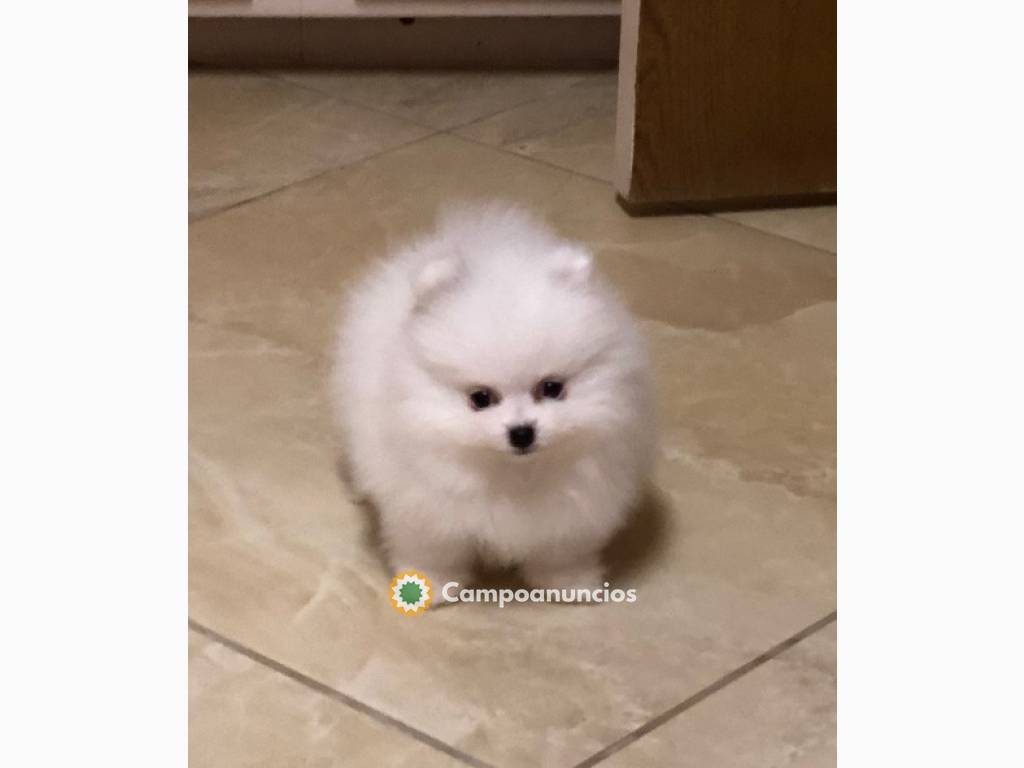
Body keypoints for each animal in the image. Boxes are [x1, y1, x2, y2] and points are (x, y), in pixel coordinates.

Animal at [335, 202, 655, 593]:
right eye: (480, 398)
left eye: (552, 388)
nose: (522, 432)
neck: (512, 472)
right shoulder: (427, 509)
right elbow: (434, 551)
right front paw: (435, 585)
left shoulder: (573, 513)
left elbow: (561, 553)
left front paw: (569, 583)